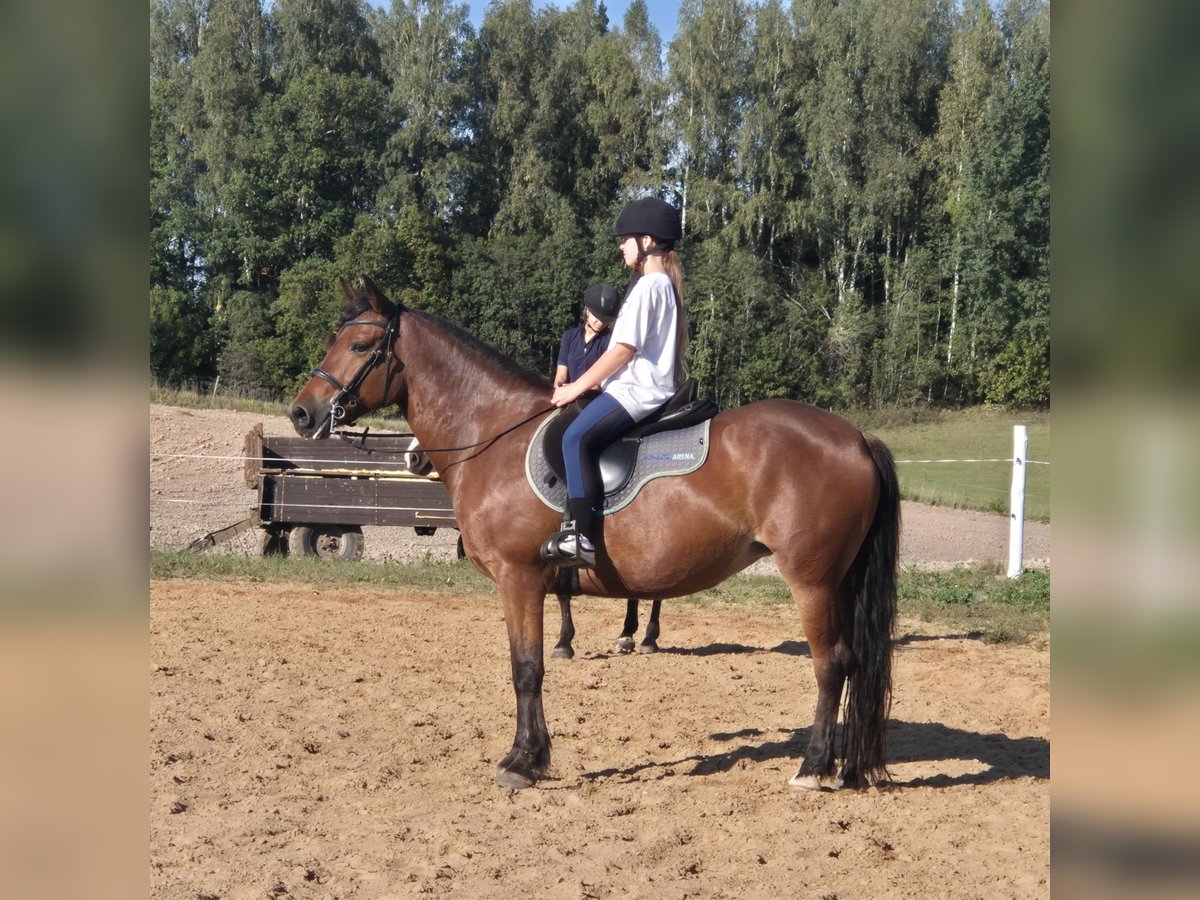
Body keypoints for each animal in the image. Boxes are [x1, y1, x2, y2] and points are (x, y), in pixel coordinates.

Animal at [285, 278, 897, 792]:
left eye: (360, 347)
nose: (302, 413)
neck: (493, 434)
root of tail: (856, 438)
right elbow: (528, 664)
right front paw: (531, 755)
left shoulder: (519, 577)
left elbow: (526, 670)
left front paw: (523, 761)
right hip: (838, 581)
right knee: (849, 662)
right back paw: (843, 766)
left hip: (812, 580)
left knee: (831, 663)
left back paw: (813, 768)